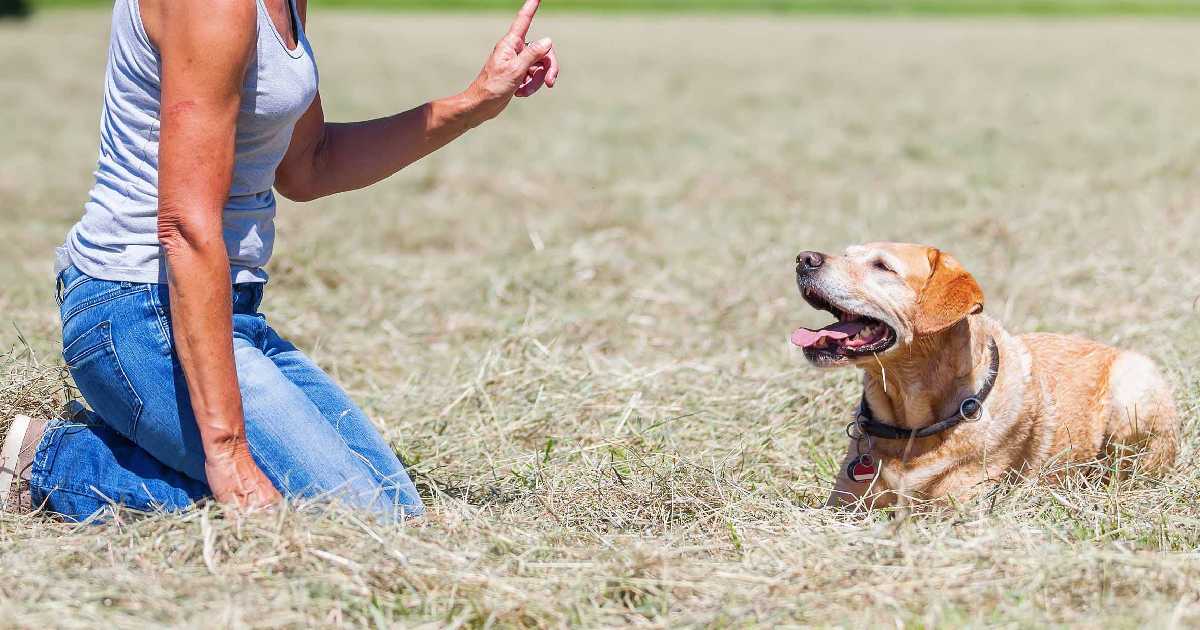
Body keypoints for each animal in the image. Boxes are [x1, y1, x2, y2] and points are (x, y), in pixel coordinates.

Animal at [792, 241, 1176, 506]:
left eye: (882, 266)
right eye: (845, 254)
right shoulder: (843, 507)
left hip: (1133, 389)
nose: (803, 258)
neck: (910, 426)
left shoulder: (959, 509)